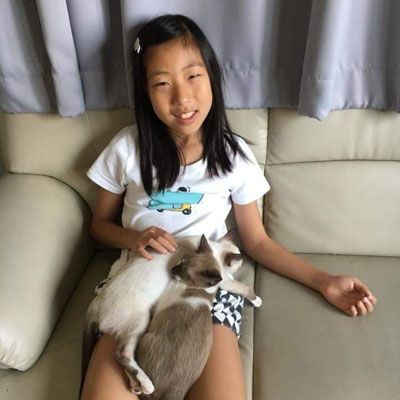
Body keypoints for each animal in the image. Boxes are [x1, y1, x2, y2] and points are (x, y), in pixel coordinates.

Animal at [81, 230, 261, 396]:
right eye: (239, 265)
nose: (239, 269)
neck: (213, 250)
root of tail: (94, 305)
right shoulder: (222, 280)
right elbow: (244, 288)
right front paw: (257, 300)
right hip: (141, 321)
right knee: (122, 354)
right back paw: (147, 385)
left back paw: (136, 386)